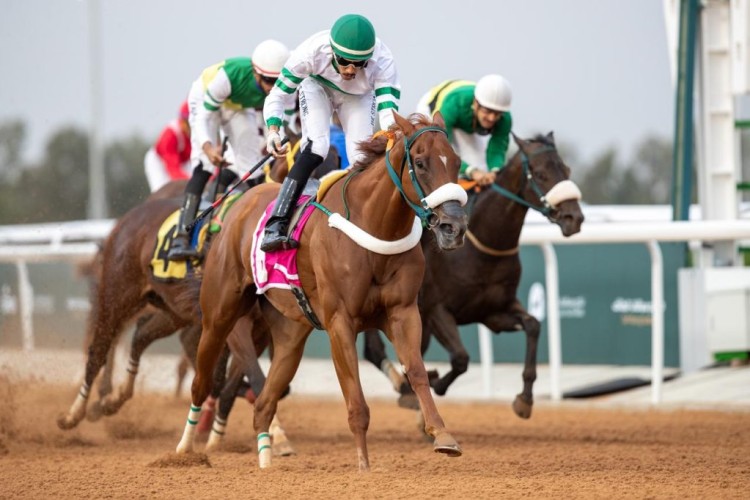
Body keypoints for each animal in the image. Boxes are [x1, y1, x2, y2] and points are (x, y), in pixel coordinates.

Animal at [177, 111, 470, 470]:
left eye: (455, 161)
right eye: (420, 162)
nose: (454, 227)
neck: (374, 226)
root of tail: (237, 205)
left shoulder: (403, 313)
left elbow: (416, 371)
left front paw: (442, 434)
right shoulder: (340, 321)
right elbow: (355, 398)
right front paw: (364, 466)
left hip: (290, 335)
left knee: (263, 404)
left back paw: (266, 461)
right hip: (219, 315)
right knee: (201, 382)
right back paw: (184, 451)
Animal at [364, 132, 588, 418]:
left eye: (566, 170)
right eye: (540, 173)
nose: (574, 218)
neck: (484, 249)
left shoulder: (492, 311)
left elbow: (533, 325)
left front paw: (525, 399)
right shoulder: (437, 310)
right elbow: (461, 358)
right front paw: (437, 383)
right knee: (374, 348)